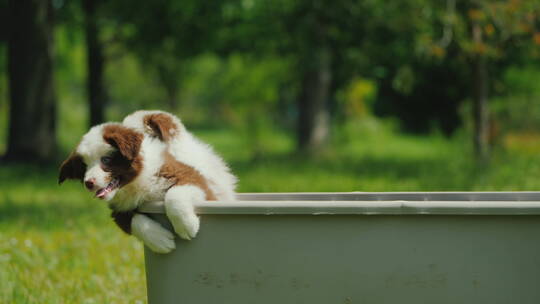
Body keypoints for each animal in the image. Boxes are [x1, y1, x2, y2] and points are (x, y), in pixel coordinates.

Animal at [58, 110, 236, 253]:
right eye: (84, 168)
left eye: (106, 160)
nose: (89, 183)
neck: (136, 183)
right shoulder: (118, 208)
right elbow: (129, 221)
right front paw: (159, 240)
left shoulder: (195, 180)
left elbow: (174, 195)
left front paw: (186, 226)